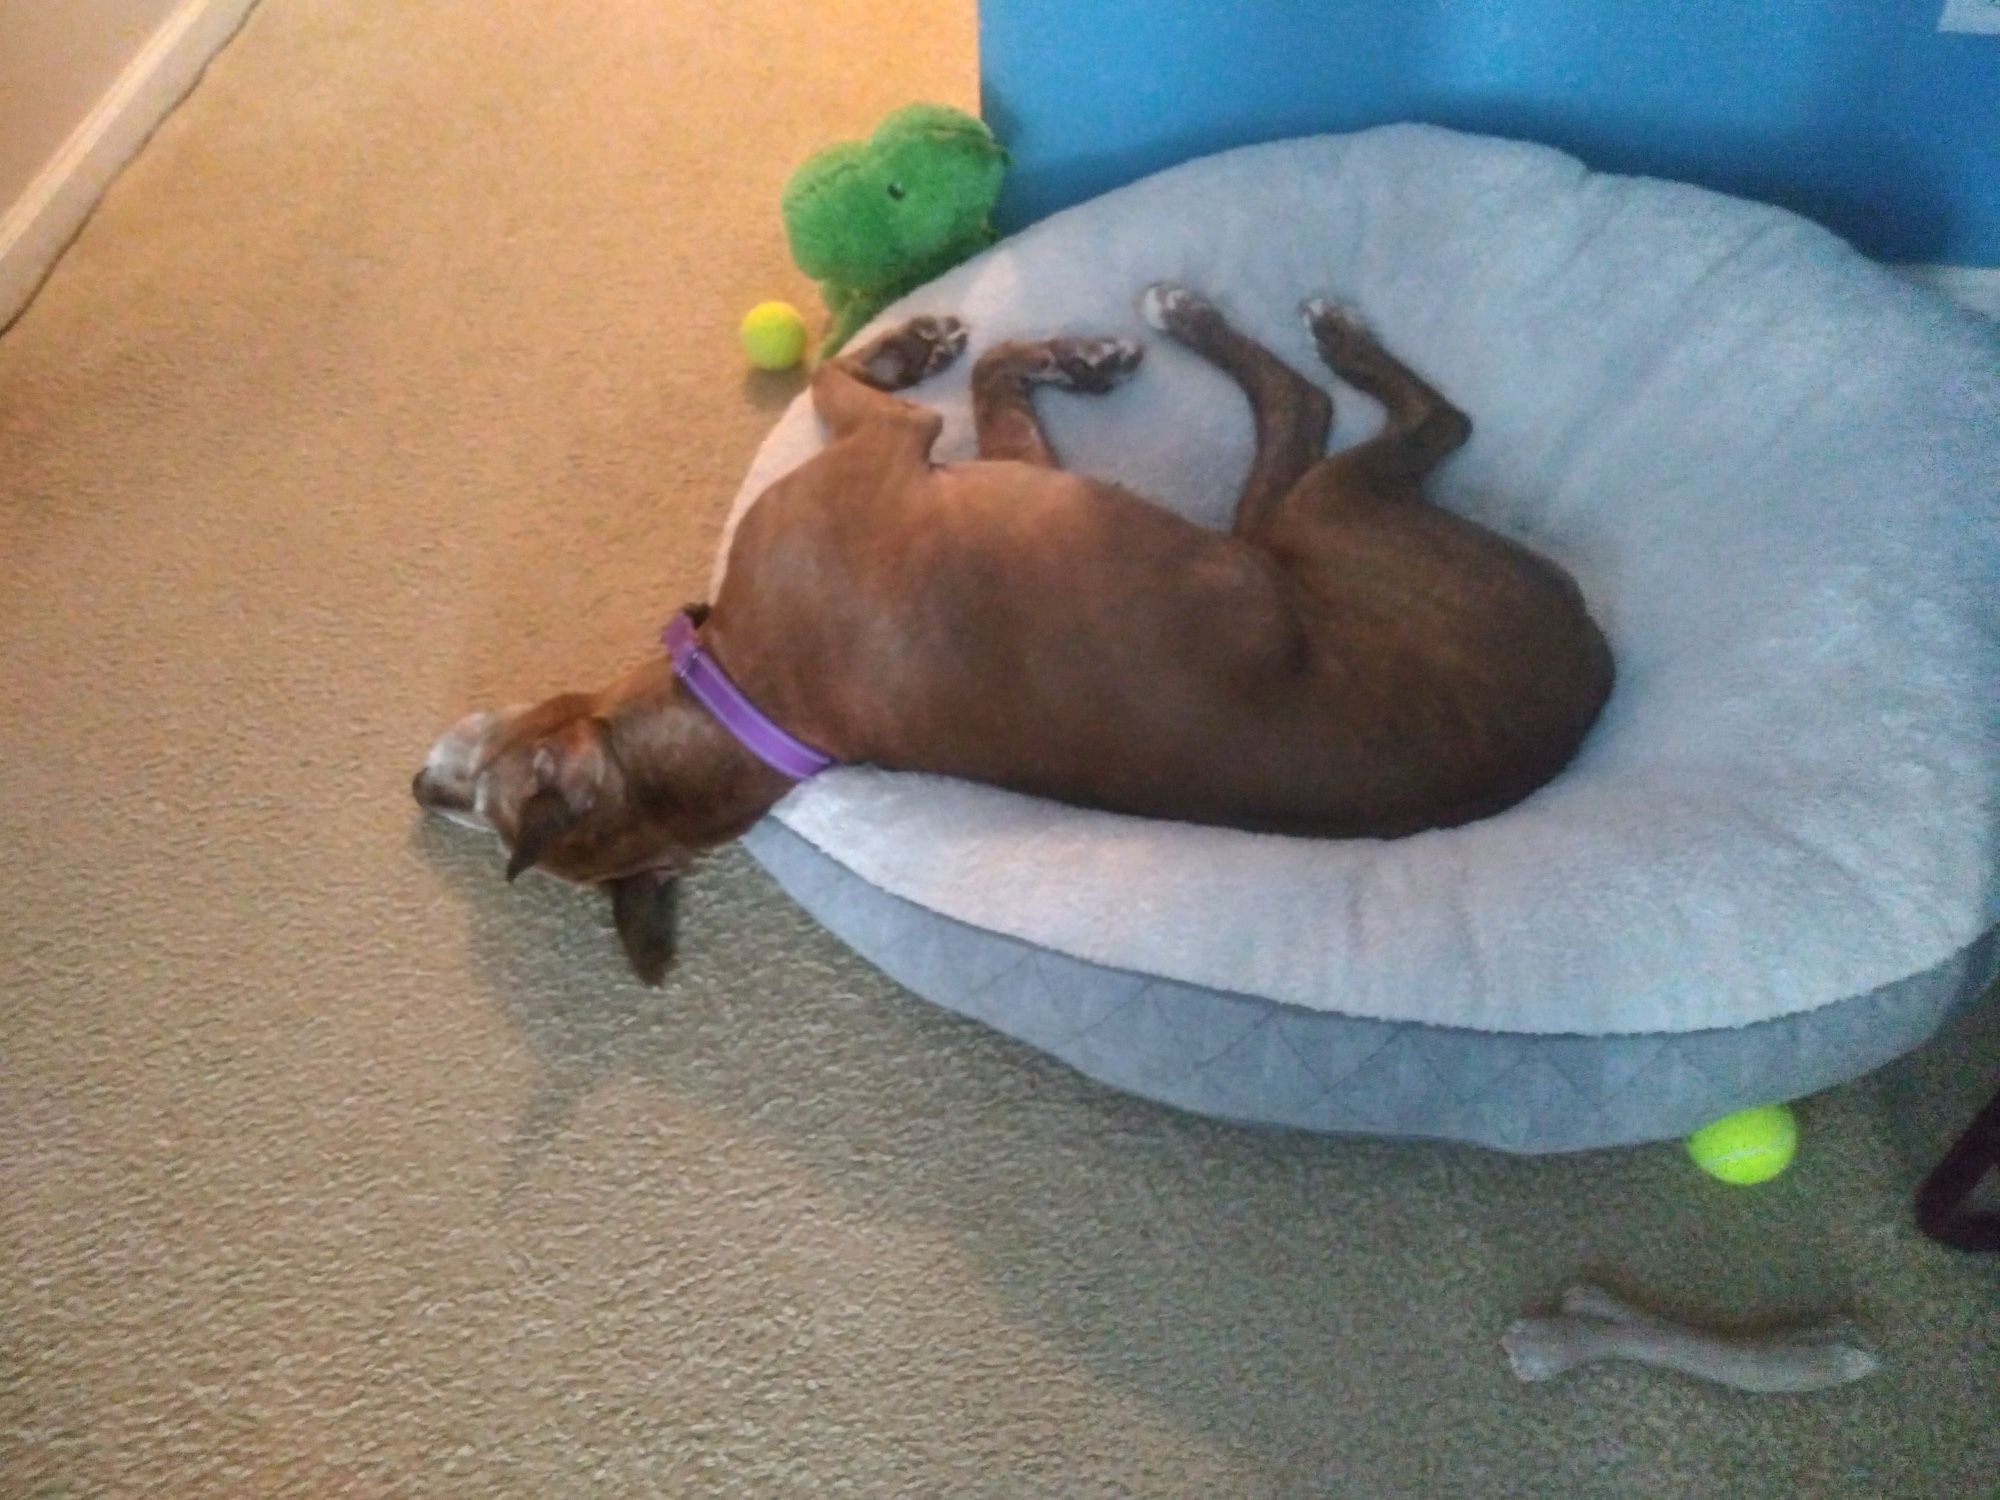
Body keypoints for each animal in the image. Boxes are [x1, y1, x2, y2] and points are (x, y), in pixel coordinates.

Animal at [414, 284, 1616, 988]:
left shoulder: (967, 454)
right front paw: (949, 348)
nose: (420, 793)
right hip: (1307, 521)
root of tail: (1596, 677)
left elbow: (909, 373)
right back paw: (1261, 331)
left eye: (487, 787)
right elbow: (867, 377)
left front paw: (956, 345)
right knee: (1357, 414)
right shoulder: (907, 446)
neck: (753, 701)